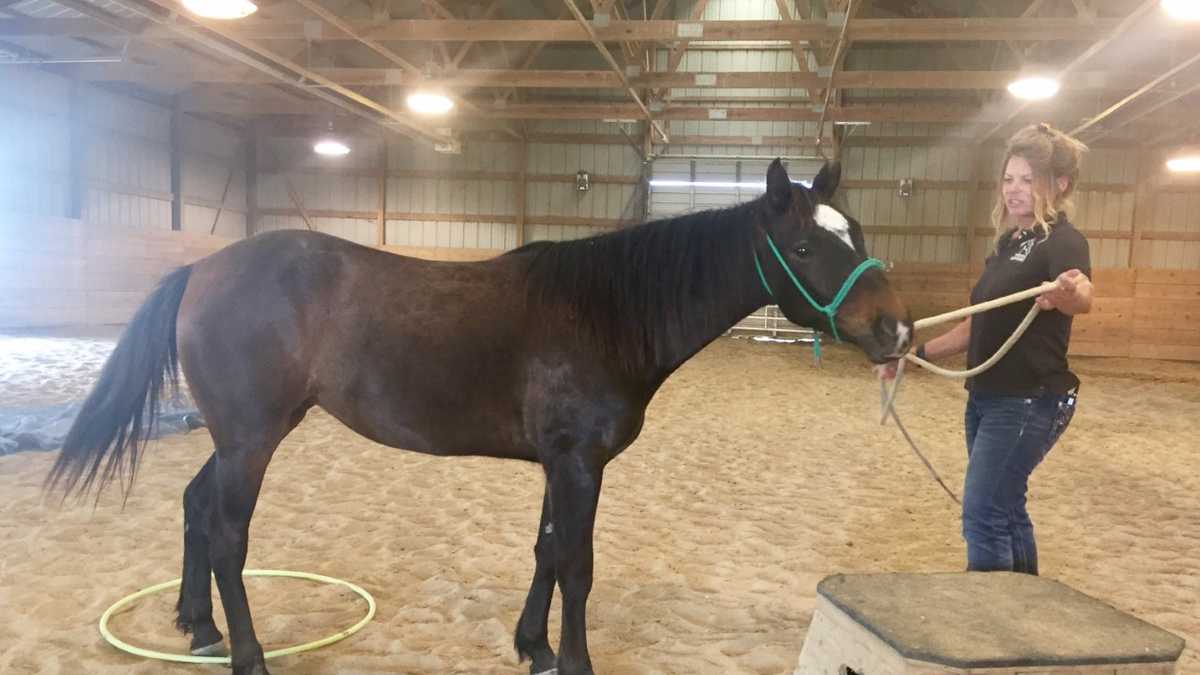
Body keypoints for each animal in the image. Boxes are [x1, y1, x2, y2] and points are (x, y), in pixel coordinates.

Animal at [47, 158, 911, 675]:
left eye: (859, 232)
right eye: (805, 246)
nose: (896, 330)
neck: (604, 313)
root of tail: (203, 267)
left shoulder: (560, 463)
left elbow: (546, 550)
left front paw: (532, 645)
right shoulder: (578, 464)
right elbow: (577, 565)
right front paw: (573, 661)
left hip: (245, 434)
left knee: (196, 505)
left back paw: (198, 626)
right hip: (251, 439)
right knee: (228, 535)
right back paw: (249, 653)